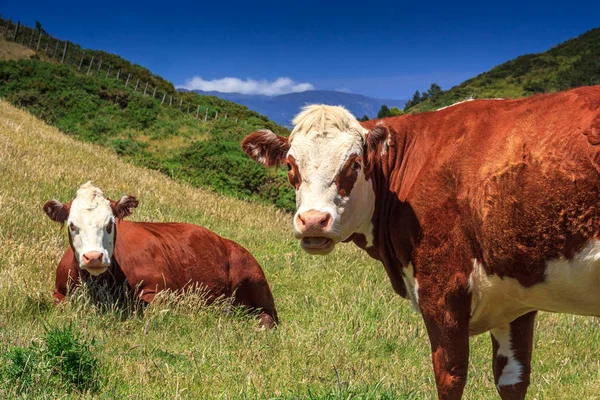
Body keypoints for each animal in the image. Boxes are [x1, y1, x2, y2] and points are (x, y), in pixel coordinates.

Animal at [44, 181, 278, 328]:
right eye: (72, 225)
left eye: (110, 224)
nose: (93, 257)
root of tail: (230, 243)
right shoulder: (59, 291)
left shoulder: (163, 291)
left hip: (254, 280)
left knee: (269, 317)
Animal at [241, 83, 600, 396]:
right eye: (291, 165)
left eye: (354, 163)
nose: (313, 221)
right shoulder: (515, 297)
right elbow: (512, 380)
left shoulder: (443, 288)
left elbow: (450, 375)